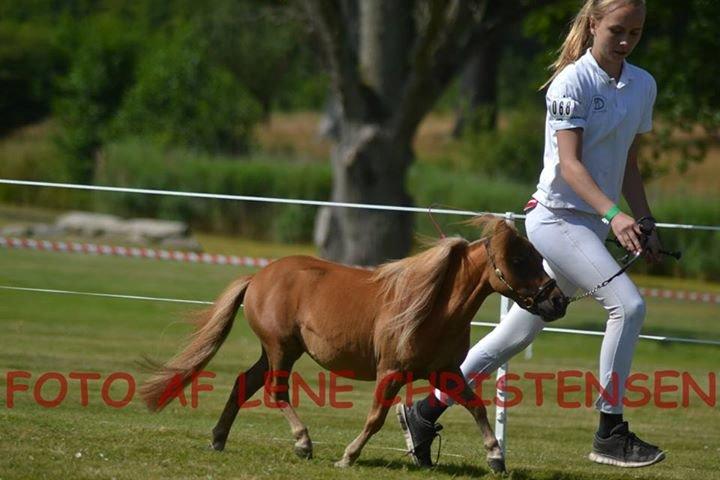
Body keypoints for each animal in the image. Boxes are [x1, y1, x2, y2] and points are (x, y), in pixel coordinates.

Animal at [139, 217, 568, 472]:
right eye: (518, 259)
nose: (557, 301)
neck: (433, 308)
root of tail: (259, 276)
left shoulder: (445, 372)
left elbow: (476, 405)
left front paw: (496, 457)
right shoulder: (390, 372)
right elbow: (376, 418)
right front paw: (348, 456)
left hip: (279, 350)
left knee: (245, 383)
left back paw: (218, 439)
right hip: (280, 348)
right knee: (276, 391)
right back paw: (303, 442)